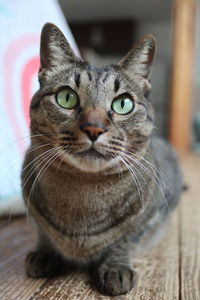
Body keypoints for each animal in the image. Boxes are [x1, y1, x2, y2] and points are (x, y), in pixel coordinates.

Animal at [21, 23, 181, 296]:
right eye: (66, 97)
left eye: (123, 104)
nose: (94, 128)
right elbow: (43, 231)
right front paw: (44, 252)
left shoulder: (151, 215)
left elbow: (127, 238)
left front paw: (116, 267)